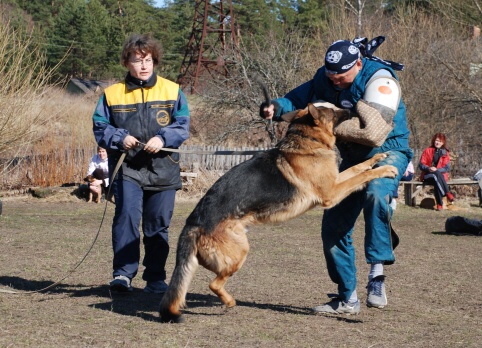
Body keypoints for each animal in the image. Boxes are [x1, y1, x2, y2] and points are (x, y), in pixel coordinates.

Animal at [160, 104, 398, 324]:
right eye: (332, 110)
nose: (351, 107)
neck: (307, 139)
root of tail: (194, 223)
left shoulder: (335, 181)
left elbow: (358, 168)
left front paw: (379, 157)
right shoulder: (331, 193)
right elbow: (360, 176)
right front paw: (385, 170)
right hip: (241, 251)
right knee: (214, 283)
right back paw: (230, 302)